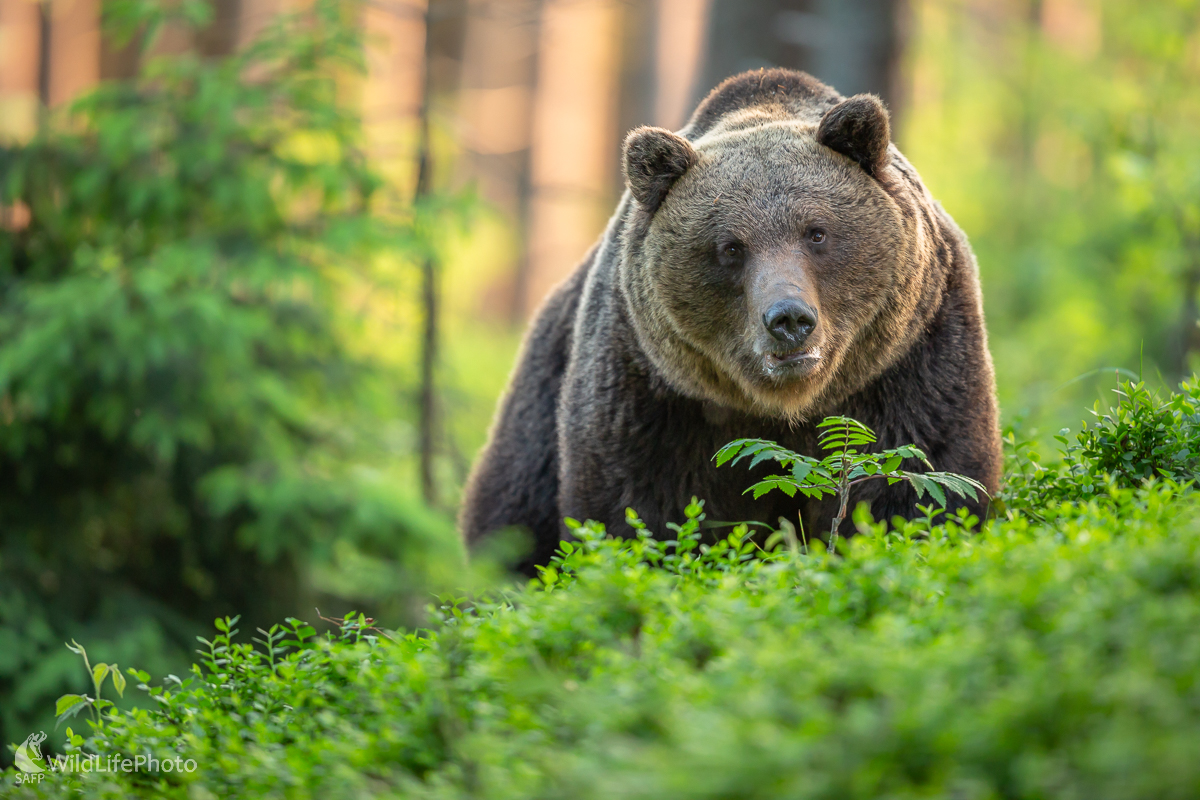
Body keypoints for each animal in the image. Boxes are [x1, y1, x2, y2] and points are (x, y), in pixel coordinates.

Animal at [458, 67, 1003, 568]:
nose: (789, 318)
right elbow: (642, 511)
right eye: (731, 247)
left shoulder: (908, 362)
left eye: (816, 231)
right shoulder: (656, 390)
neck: (779, 406)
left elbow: (917, 485)